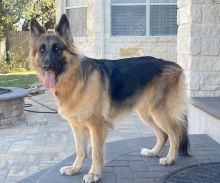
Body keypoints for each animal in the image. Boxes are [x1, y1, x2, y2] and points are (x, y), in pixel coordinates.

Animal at [30, 14, 190, 183]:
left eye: (57, 49)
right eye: (41, 50)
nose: (46, 66)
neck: (75, 78)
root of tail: (176, 66)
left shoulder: (96, 126)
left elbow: (95, 153)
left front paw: (94, 174)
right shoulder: (77, 126)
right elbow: (80, 150)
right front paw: (75, 168)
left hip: (159, 113)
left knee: (174, 133)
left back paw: (170, 159)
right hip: (147, 114)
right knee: (163, 134)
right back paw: (153, 152)